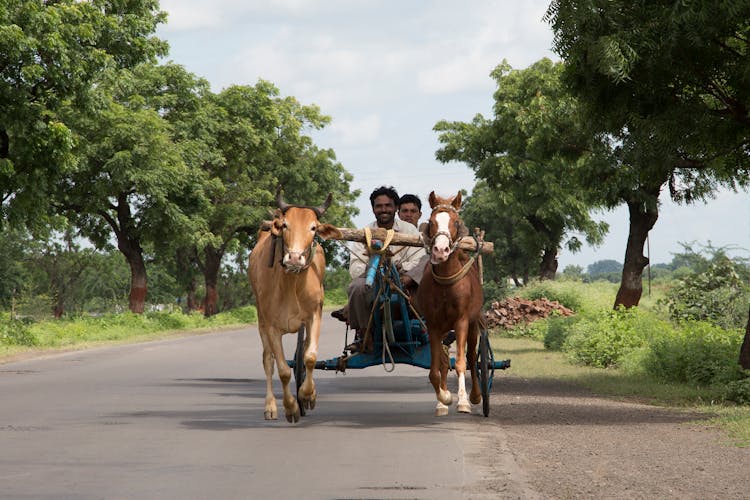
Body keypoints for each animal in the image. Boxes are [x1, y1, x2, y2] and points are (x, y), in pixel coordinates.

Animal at [414, 189, 484, 416]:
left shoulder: (462, 321)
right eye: (431, 221)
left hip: (473, 324)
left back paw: (475, 395)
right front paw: (444, 397)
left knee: (471, 356)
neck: (446, 284)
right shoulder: (433, 325)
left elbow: (461, 362)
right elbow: (435, 370)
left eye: (455, 221)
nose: (440, 250)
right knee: (444, 362)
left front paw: (463, 401)